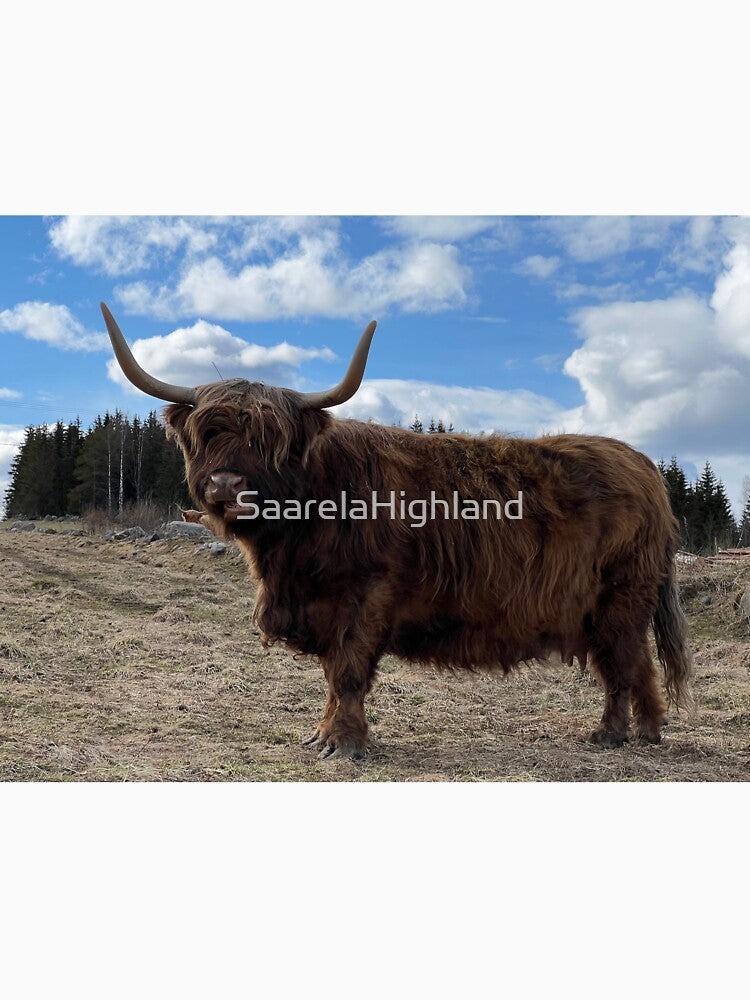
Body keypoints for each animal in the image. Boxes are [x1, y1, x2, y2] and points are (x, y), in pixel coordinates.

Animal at [101, 302, 692, 760]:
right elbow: (331, 673)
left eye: (270, 440)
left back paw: (610, 734)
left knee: (621, 663)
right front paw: (320, 735)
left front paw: (343, 742)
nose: (226, 484)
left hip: (621, 595)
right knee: (637, 663)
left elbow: (348, 669)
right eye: (207, 433)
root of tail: (643, 464)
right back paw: (647, 732)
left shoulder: (368, 592)